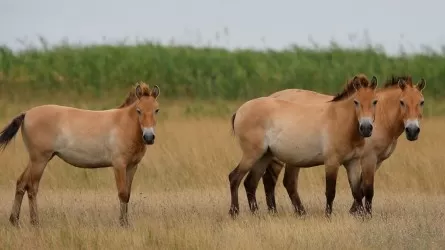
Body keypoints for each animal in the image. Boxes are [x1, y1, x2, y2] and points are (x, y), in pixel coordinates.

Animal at [0, 82, 160, 227]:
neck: (123, 124)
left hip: (36, 160)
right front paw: (122, 224)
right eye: (138, 110)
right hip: (39, 160)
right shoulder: (119, 165)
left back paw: (14, 220)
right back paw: (35, 222)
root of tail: (26, 113)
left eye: (156, 110)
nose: (149, 137)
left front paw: (125, 222)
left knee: (21, 183)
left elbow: (127, 194)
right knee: (32, 188)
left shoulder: (132, 167)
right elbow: (122, 193)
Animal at [229, 73, 378, 217]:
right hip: (252, 155)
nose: (366, 128)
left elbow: (356, 192)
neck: (339, 120)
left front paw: (361, 216)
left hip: (264, 156)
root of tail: (240, 111)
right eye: (356, 102)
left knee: (250, 183)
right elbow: (330, 191)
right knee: (234, 178)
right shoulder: (332, 162)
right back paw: (234, 212)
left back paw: (256, 214)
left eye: (375, 101)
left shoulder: (353, 163)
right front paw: (328, 216)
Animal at [245, 75, 424, 216]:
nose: (412, 131)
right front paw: (359, 213)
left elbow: (359, 187)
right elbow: (367, 188)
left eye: (421, 102)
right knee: (275, 181)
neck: (380, 116)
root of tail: (272, 96)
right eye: (402, 102)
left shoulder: (374, 161)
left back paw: (288, 212)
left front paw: (355, 211)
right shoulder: (368, 159)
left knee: (280, 182)